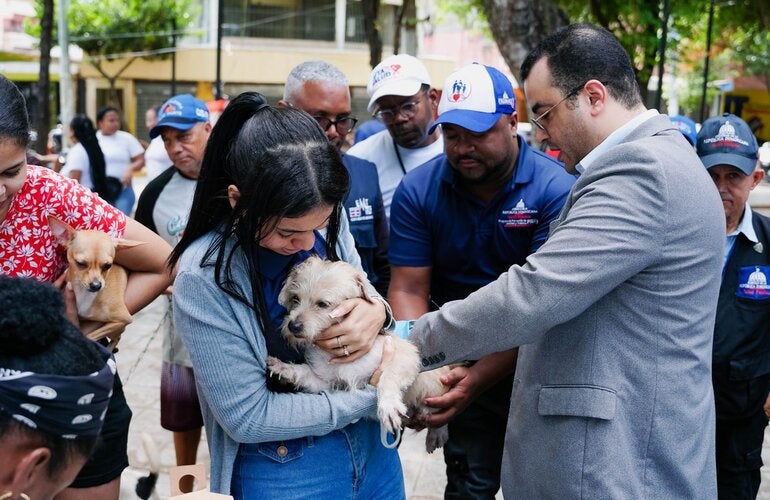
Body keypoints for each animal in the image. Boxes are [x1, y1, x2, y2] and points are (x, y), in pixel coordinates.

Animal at [268, 256, 450, 452]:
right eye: (295, 299)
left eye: (323, 304)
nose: (293, 326)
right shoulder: (328, 384)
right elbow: (304, 372)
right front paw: (283, 368)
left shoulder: (407, 356)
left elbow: (388, 377)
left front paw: (388, 405)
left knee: (438, 416)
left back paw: (436, 433)